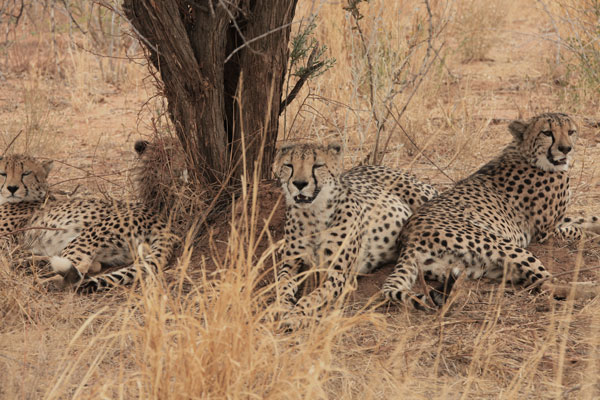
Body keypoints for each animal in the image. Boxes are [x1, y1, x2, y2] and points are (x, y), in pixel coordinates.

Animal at [1, 153, 176, 290]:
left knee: (79, 268)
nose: (12, 188)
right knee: (92, 265)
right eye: (3, 173)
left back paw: (44, 281)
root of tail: (159, 218)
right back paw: (27, 263)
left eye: (26, 173)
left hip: (90, 234)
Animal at [274, 142, 438, 324]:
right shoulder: (291, 263)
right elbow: (281, 285)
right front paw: (281, 306)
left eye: (317, 165)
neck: (312, 215)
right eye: (289, 165)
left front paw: (295, 314)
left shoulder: (339, 274)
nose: (299, 183)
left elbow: (313, 297)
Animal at [382, 112, 600, 306]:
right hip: (501, 243)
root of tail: (407, 239)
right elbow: (575, 229)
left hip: (477, 266)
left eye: (571, 131)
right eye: (547, 133)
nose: (565, 149)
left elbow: (588, 219)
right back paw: (592, 288)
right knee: (546, 284)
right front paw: (589, 236)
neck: (526, 152)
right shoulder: (545, 233)